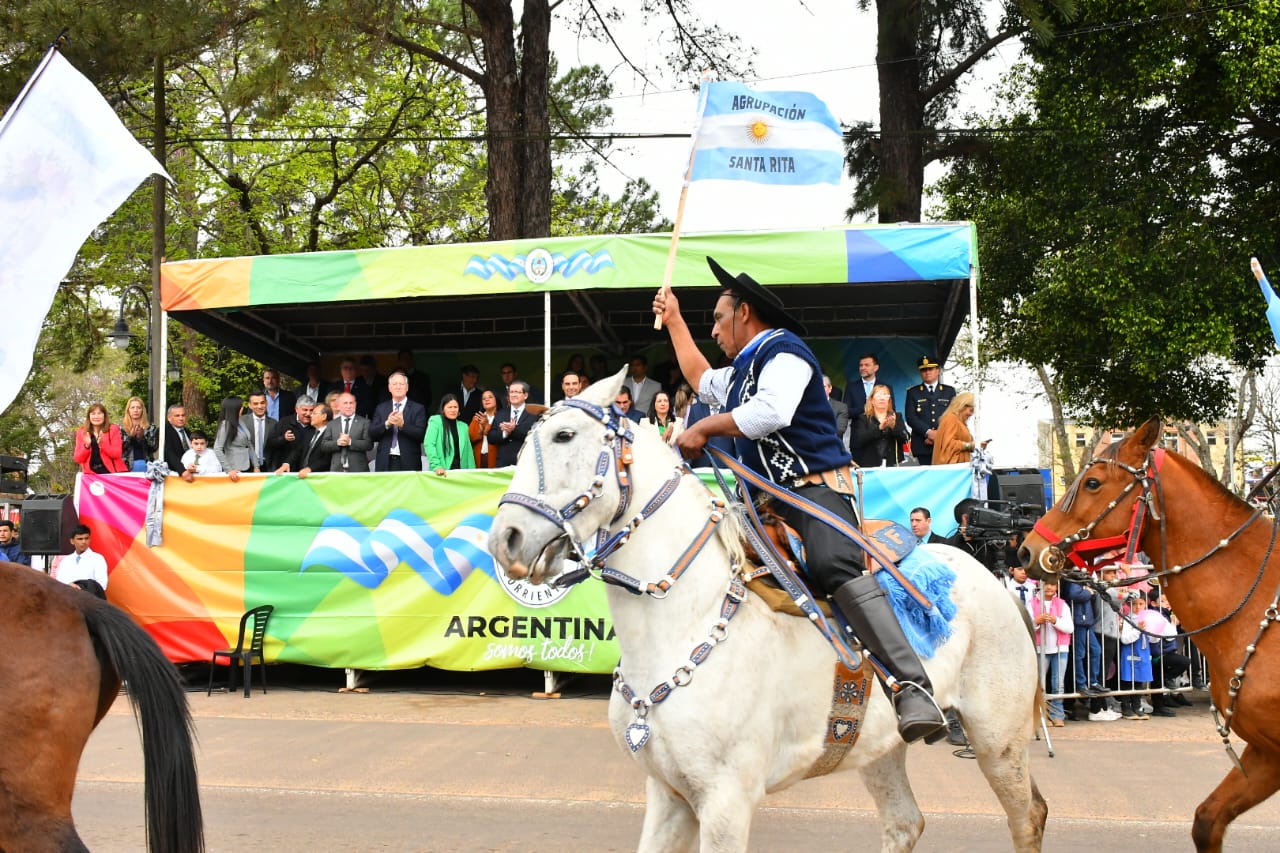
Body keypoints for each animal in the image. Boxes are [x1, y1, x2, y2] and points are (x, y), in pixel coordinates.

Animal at [489, 370, 1045, 852]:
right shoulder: (668, 796)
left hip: (998, 739)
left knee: (1028, 817)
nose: (504, 540)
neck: (685, 622)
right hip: (882, 748)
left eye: (564, 436)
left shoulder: (726, 802)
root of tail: (993, 580)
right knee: (905, 823)